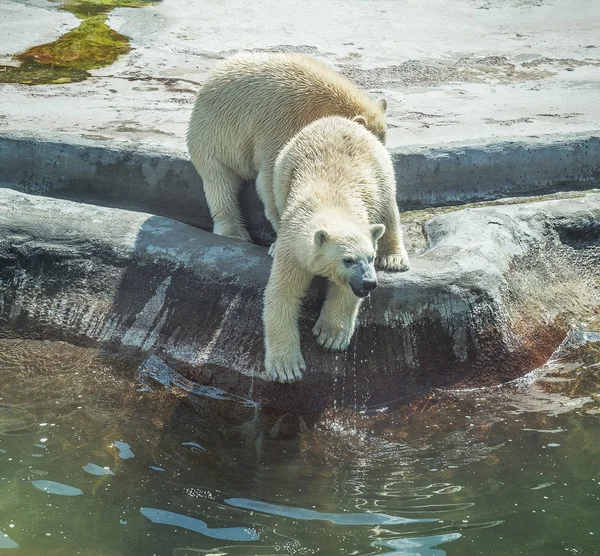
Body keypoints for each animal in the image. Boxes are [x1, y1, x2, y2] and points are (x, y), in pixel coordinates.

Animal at [262, 116, 408, 382]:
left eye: (370, 257)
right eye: (347, 260)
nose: (369, 283)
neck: (330, 203)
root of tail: (341, 119)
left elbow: (344, 292)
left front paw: (329, 336)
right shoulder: (293, 248)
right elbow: (282, 294)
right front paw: (286, 368)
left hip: (380, 167)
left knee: (388, 207)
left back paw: (394, 258)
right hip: (283, 166)